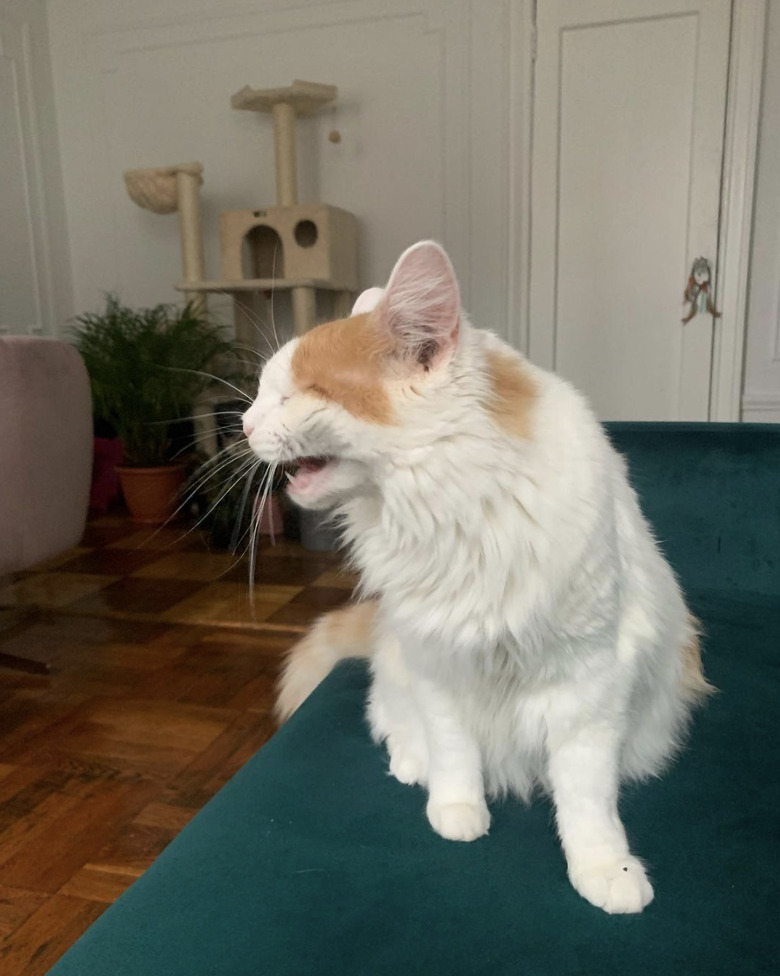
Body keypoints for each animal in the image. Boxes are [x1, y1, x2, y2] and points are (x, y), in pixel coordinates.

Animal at [241, 238, 708, 916]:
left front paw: (604, 869)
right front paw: (457, 808)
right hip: (396, 659)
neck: (453, 513)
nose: (243, 426)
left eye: (294, 394)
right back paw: (413, 763)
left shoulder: (589, 682)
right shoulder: (435, 660)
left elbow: (587, 797)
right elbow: (454, 747)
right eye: (261, 395)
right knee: (389, 716)